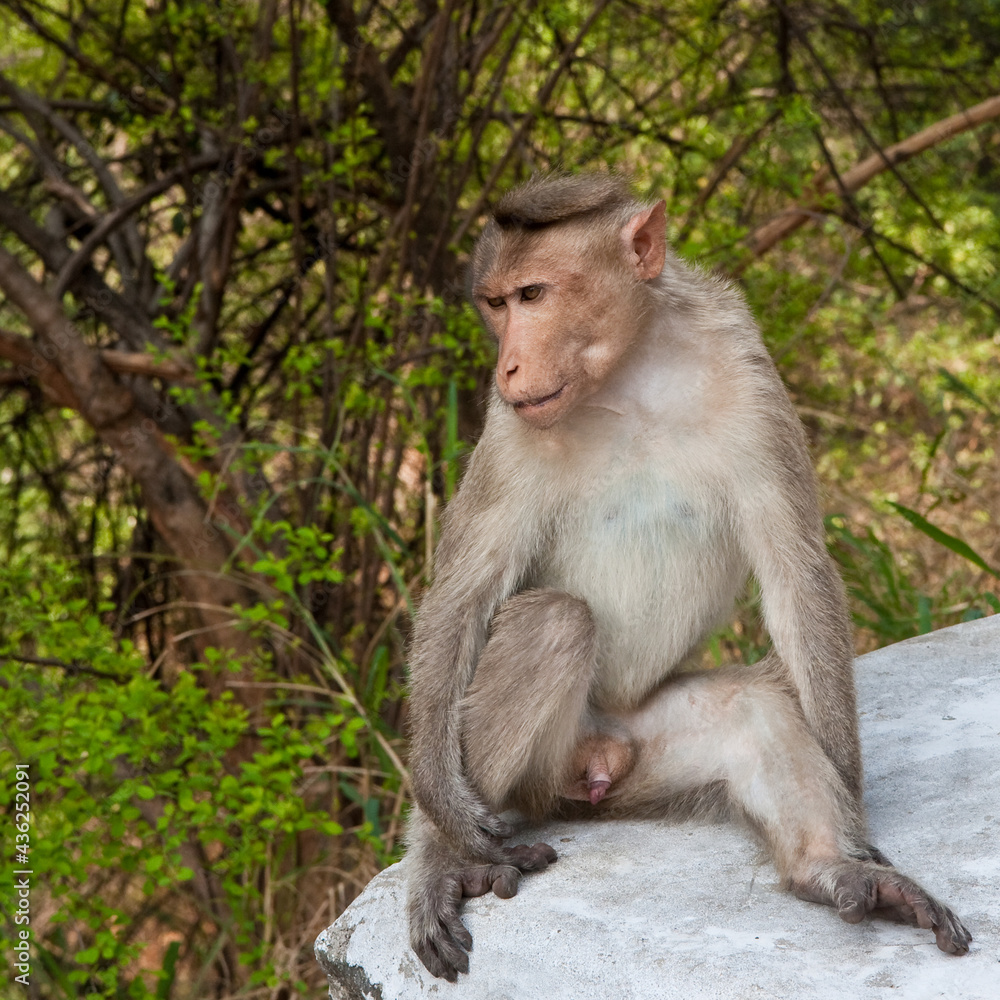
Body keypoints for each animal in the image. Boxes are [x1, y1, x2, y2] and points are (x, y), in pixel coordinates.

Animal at [404, 173, 971, 981]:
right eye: (496, 303)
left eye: (533, 295)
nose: (508, 364)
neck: (633, 374)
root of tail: (595, 762)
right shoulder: (508, 424)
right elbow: (463, 591)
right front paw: (439, 823)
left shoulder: (747, 366)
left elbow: (796, 567)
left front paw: (855, 821)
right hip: (541, 778)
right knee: (553, 620)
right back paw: (455, 859)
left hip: (640, 756)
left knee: (749, 705)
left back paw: (831, 869)